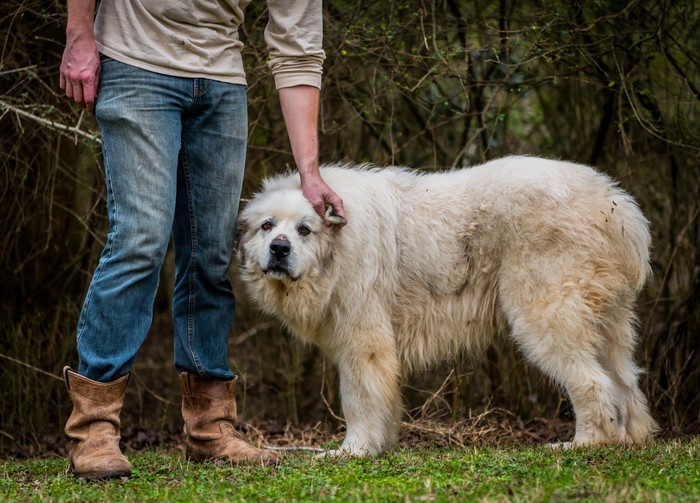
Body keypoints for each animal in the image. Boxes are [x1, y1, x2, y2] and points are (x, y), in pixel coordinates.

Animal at [238, 157, 660, 456]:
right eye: (267, 226)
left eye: (304, 229)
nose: (279, 248)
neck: (336, 249)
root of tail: (618, 206)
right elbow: (382, 400)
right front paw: (379, 445)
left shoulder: (363, 342)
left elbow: (359, 399)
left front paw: (353, 450)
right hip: (609, 323)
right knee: (624, 382)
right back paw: (630, 439)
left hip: (544, 315)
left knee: (592, 382)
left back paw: (585, 442)